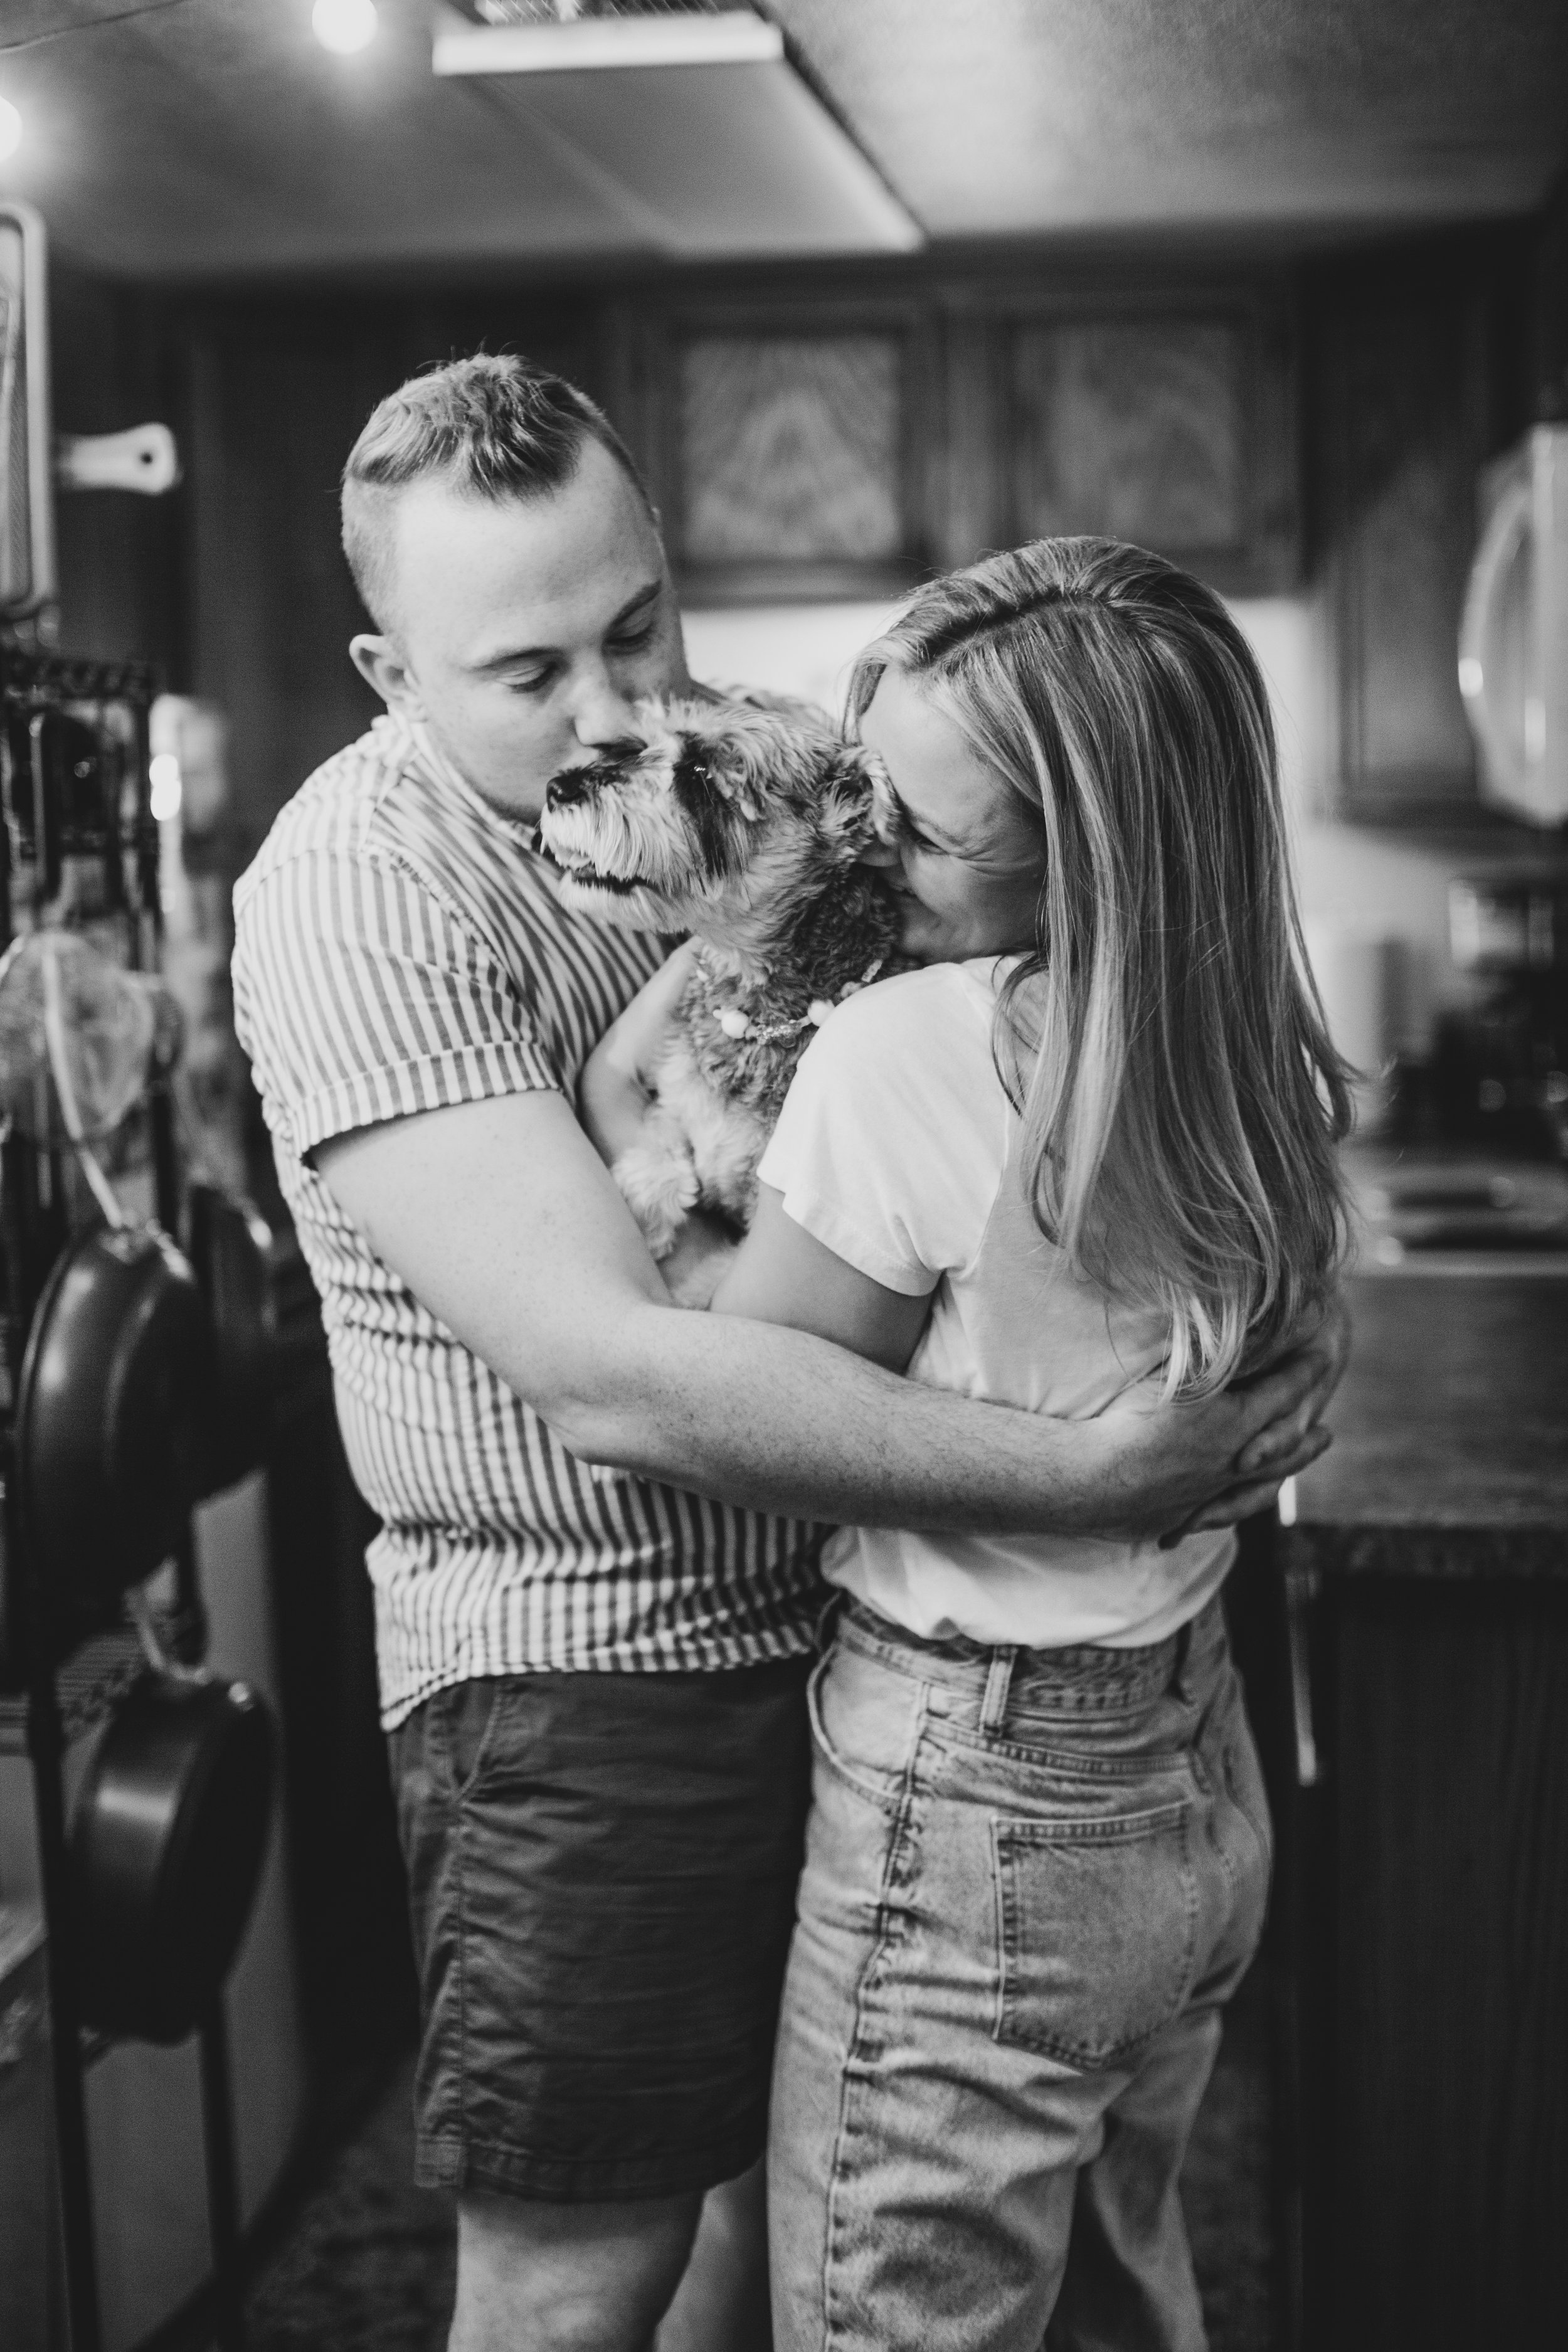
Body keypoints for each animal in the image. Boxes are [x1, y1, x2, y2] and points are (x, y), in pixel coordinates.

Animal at [541, 696, 903, 1279]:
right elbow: (660, 1147)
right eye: (642, 746)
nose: (559, 787)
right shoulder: (671, 1097)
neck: (756, 1014)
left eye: (701, 774)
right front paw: (648, 1210)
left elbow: (715, 1276)